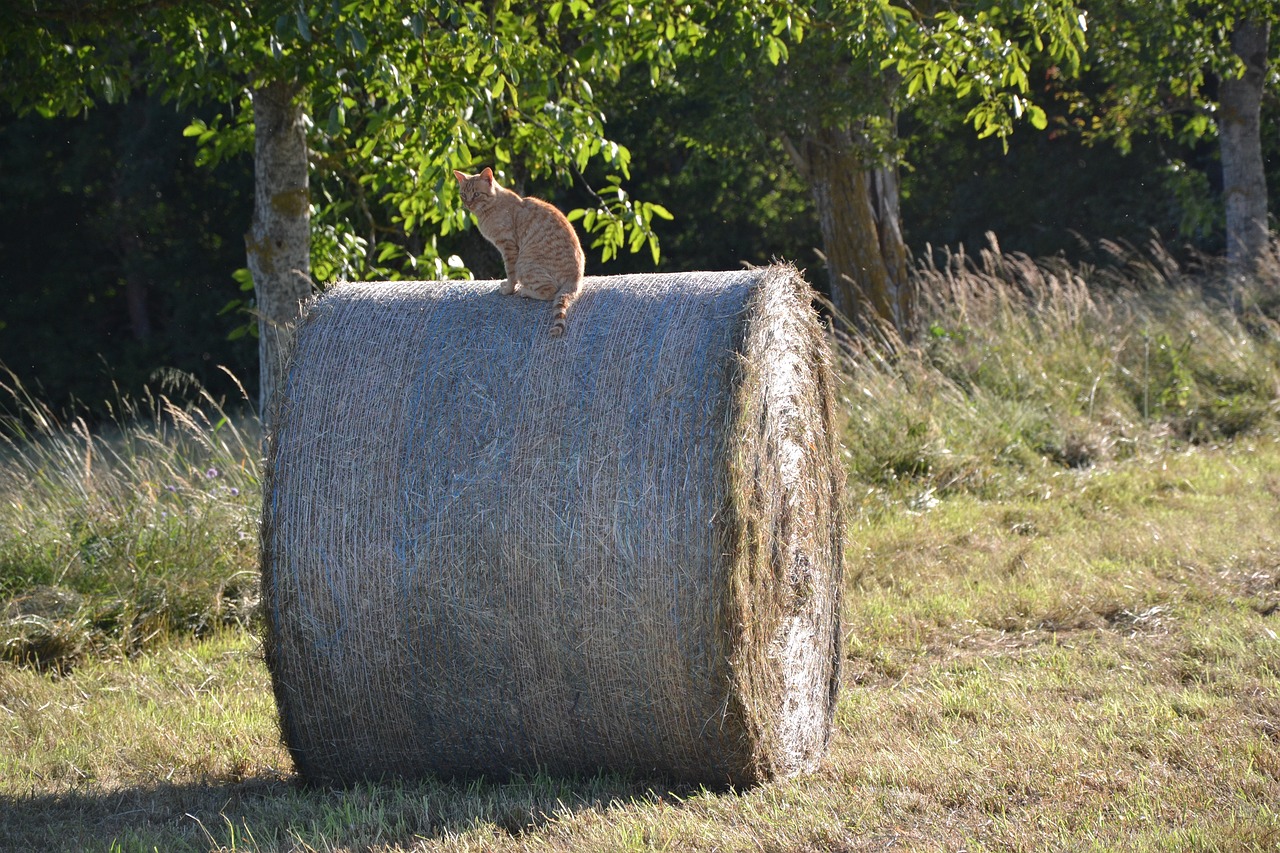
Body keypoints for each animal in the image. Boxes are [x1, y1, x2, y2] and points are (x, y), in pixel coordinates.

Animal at [453, 166, 586, 335]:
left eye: (476, 194)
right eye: (463, 195)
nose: (468, 204)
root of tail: (576, 278)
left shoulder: (508, 246)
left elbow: (510, 273)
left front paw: (508, 289)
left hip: (524, 264)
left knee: (551, 291)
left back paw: (526, 291)